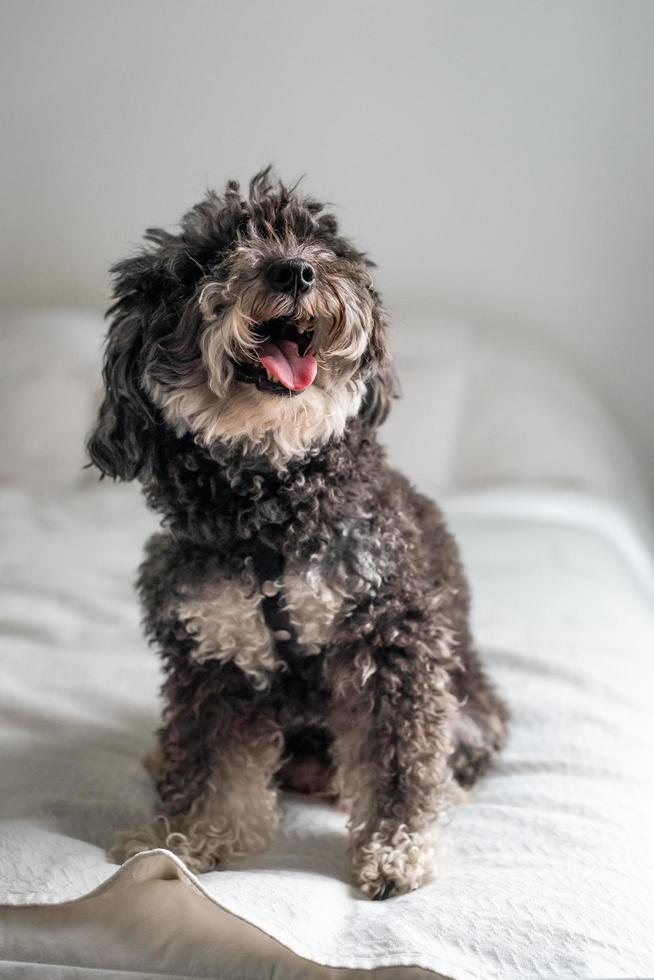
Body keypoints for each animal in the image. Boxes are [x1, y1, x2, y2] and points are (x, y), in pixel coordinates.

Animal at [88, 168, 508, 896]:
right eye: (203, 261)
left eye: (315, 240)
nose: (296, 270)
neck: (273, 510)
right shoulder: (213, 651)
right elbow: (209, 763)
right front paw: (187, 840)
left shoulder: (390, 636)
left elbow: (397, 758)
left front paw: (398, 850)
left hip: (471, 709)